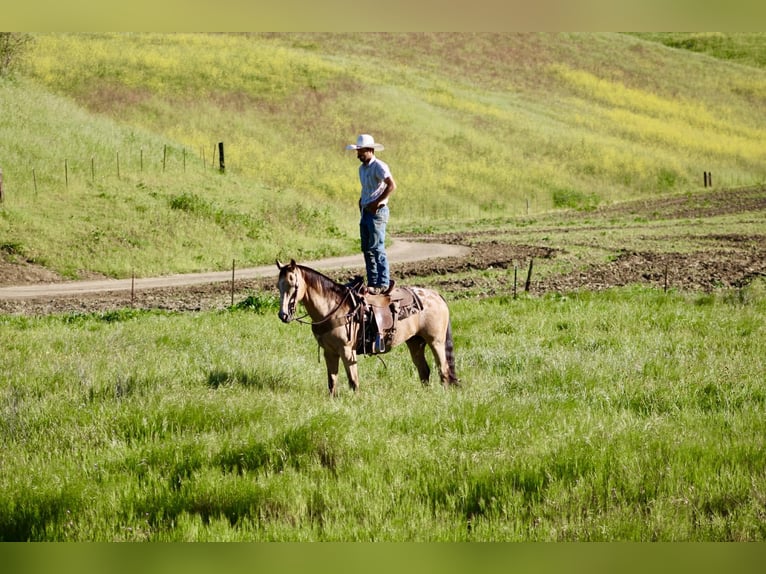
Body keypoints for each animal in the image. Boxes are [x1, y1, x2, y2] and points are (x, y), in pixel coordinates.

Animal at [276, 259, 459, 396]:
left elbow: (353, 380)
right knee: (424, 370)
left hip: (436, 341)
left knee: (443, 370)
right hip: (415, 342)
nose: (283, 315)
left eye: (293, 285)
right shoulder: (329, 351)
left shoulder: (347, 351)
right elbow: (332, 381)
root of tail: (436, 295)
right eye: (279, 286)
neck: (332, 308)